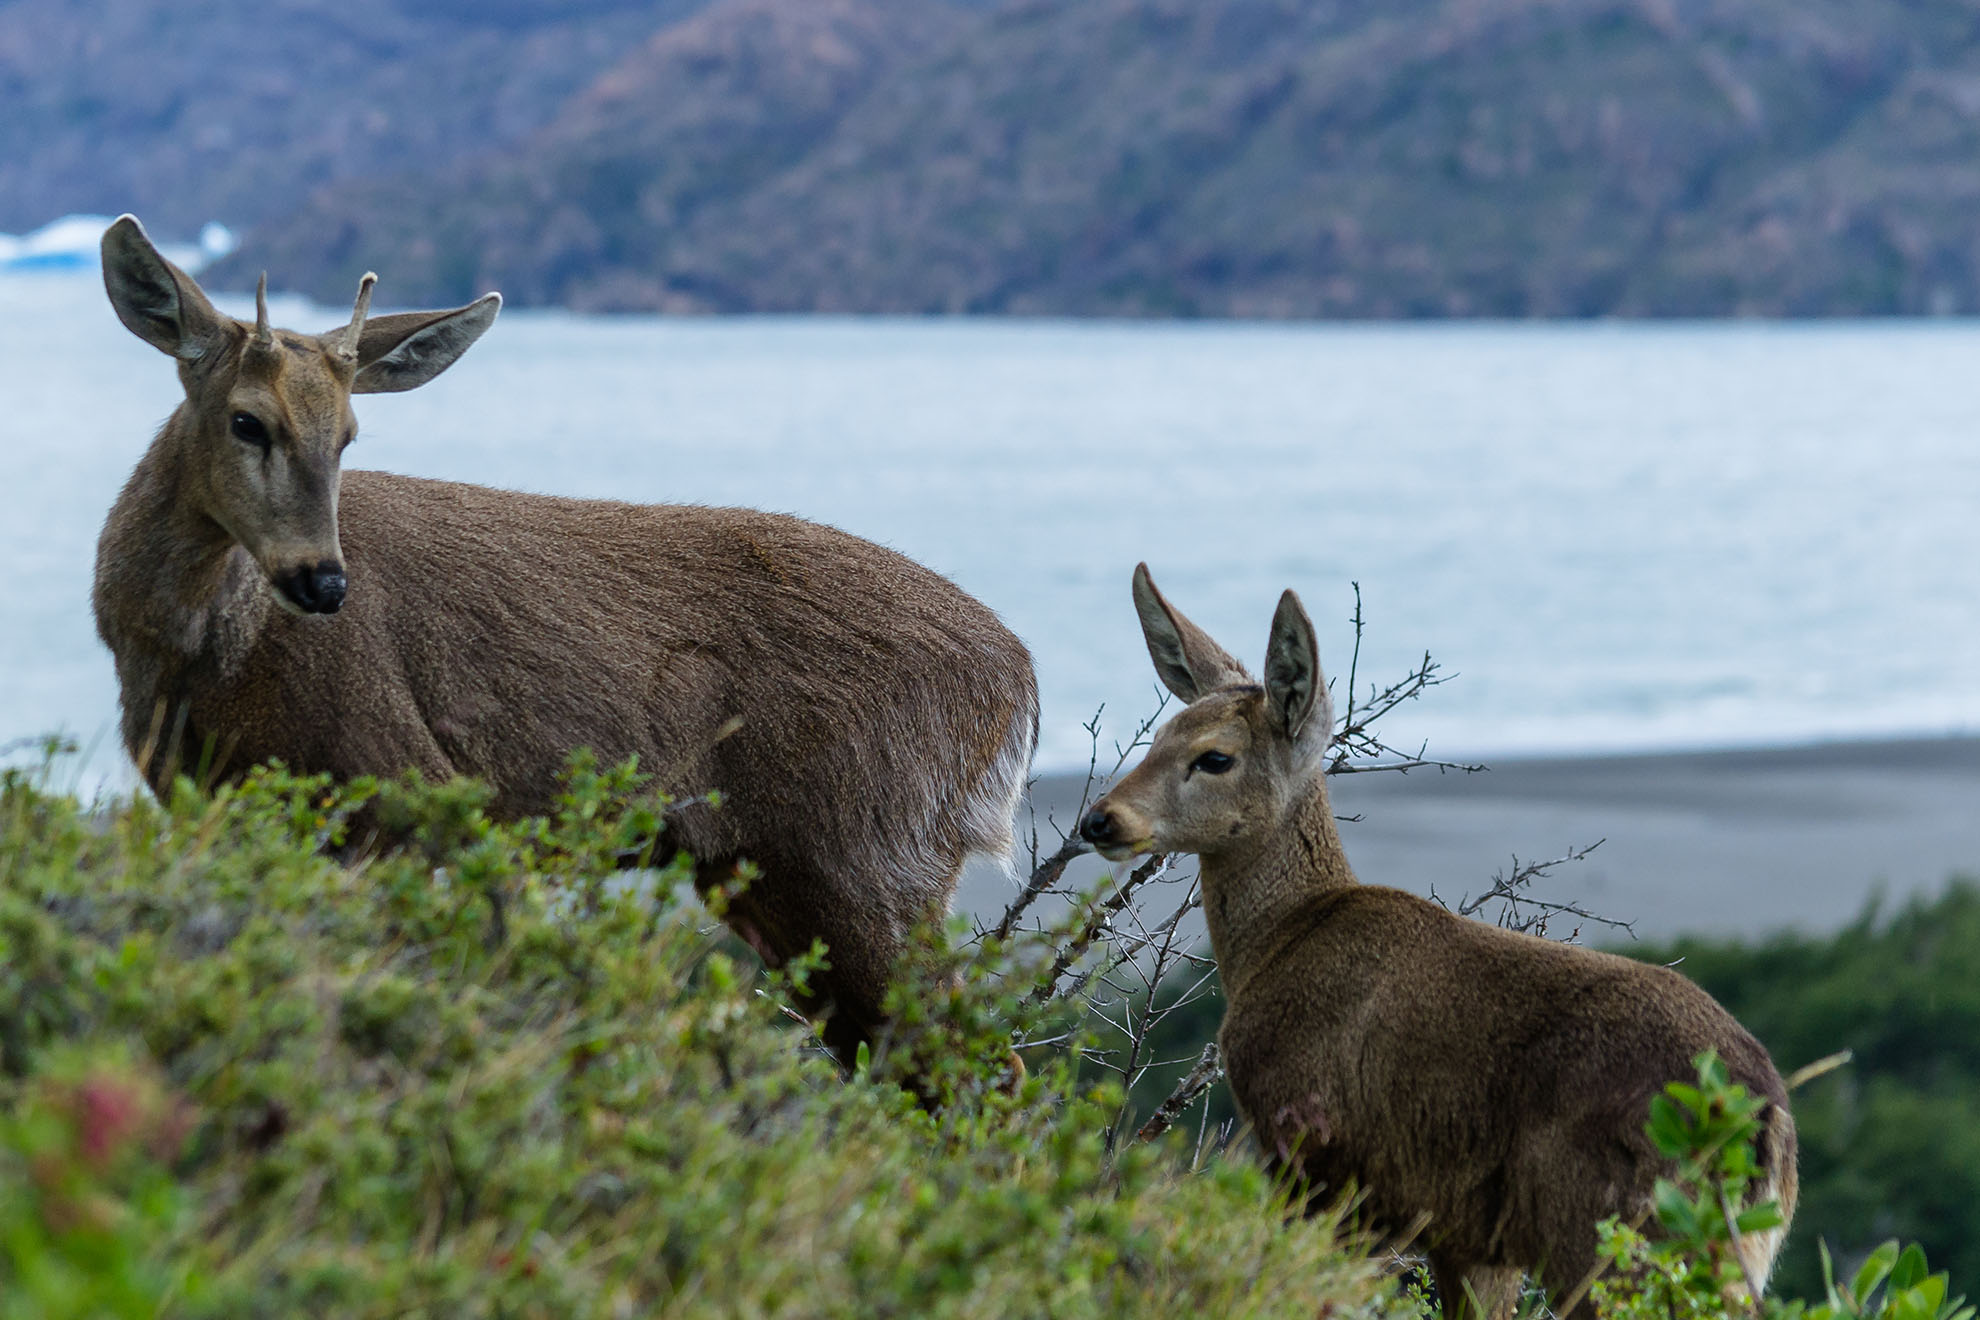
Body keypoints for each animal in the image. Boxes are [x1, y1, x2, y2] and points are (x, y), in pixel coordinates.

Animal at [94, 216, 1045, 1060]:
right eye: (247, 420)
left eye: (350, 436)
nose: (324, 580)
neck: (201, 659)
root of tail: (1019, 681)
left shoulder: (400, 777)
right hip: (776, 880)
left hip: (869, 850)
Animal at [1085, 565, 1797, 1320]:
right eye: (1160, 734)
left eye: (1214, 757)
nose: (1101, 819)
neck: (1280, 941)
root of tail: (1763, 1122)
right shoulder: (1470, 1238)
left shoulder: (1316, 1154)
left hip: (1608, 1232)